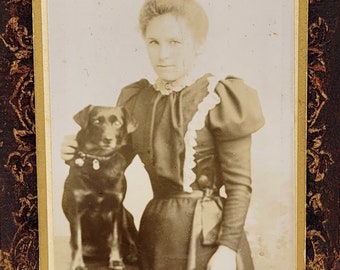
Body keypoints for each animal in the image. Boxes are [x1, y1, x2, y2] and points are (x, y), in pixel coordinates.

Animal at [62, 105, 138, 270]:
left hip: (126, 218)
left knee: (132, 241)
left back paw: (132, 255)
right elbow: (76, 241)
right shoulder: (76, 210)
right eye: (97, 121)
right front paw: (77, 264)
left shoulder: (117, 208)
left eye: (117, 123)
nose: (108, 139)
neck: (99, 160)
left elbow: (116, 237)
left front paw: (115, 260)